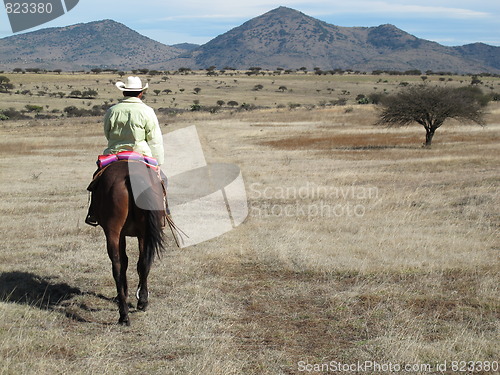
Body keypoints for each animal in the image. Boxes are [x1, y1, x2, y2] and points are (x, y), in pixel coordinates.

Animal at [89, 160, 166, 324]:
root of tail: (129, 175)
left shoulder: (121, 235)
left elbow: (124, 261)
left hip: (113, 231)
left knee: (117, 265)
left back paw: (123, 313)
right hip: (142, 231)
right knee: (143, 263)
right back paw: (140, 303)